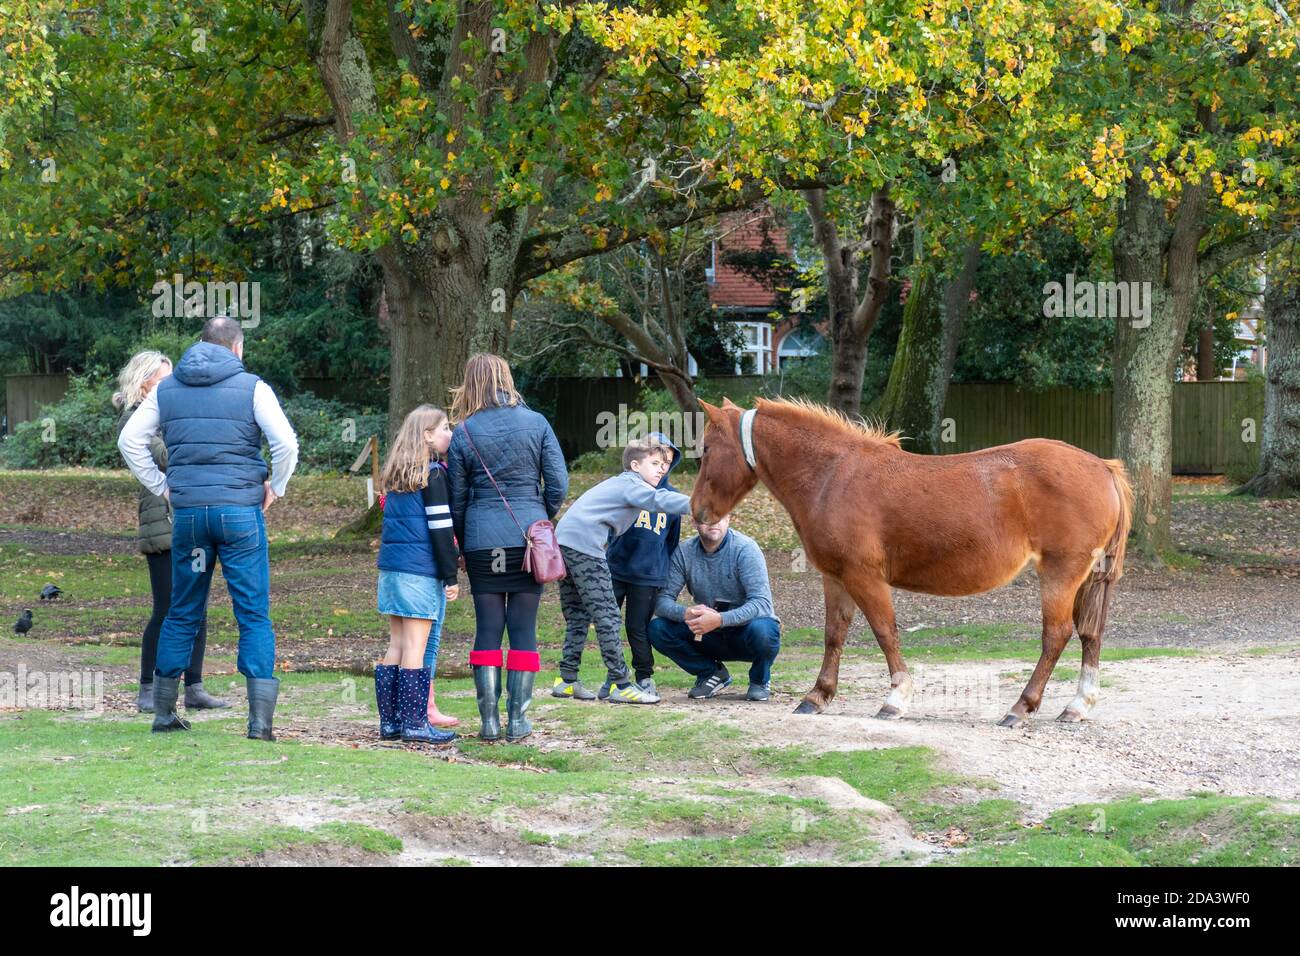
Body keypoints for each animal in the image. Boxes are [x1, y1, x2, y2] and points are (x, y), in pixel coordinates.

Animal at [696, 395, 1133, 723]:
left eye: (706, 449)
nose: (699, 512)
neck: (832, 475)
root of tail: (1103, 466)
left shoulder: (864, 577)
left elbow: (885, 632)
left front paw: (895, 699)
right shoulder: (835, 577)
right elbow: (834, 634)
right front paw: (817, 696)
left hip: (1060, 573)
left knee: (1056, 635)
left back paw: (1021, 707)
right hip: (1088, 578)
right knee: (1090, 634)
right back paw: (1077, 706)